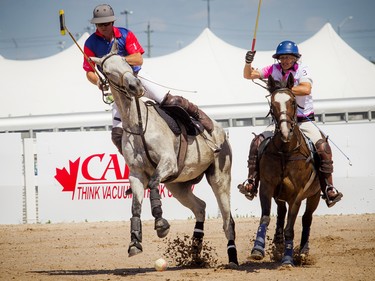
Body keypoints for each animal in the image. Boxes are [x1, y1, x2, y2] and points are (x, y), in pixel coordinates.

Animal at [91, 41, 238, 264]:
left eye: (126, 60)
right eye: (107, 71)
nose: (136, 86)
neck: (137, 125)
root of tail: (222, 131)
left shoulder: (168, 162)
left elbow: (153, 184)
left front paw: (161, 223)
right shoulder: (136, 174)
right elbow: (135, 205)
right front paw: (135, 242)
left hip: (220, 177)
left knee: (227, 220)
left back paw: (232, 258)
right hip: (179, 186)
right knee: (200, 207)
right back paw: (195, 252)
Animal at [251, 73, 322, 266]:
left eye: (292, 101)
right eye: (272, 104)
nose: (285, 132)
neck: (285, 151)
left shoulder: (297, 195)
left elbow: (291, 227)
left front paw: (288, 259)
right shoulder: (267, 187)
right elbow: (266, 217)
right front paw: (257, 249)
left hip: (314, 195)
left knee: (307, 218)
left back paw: (303, 252)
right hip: (280, 194)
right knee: (281, 213)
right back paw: (278, 244)